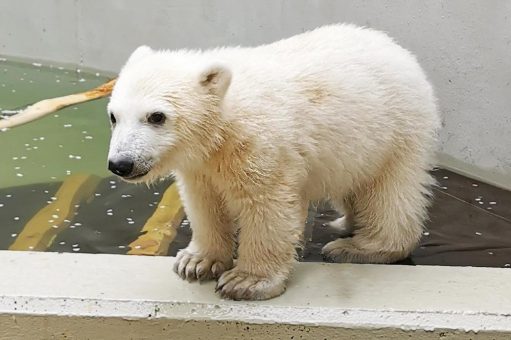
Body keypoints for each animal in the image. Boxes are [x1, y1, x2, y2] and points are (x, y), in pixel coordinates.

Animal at [107, 24, 440, 300]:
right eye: (113, 115)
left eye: (156, 116)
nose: (121, 163)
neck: (224, 124)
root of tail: (396, 49)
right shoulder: (200, 166)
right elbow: (205, 202)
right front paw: (196, 261)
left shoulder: (259, 145)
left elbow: (267, 205)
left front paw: (246, 281)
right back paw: (345, 223)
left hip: (394, 131)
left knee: (389, 194)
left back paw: (357, 248)